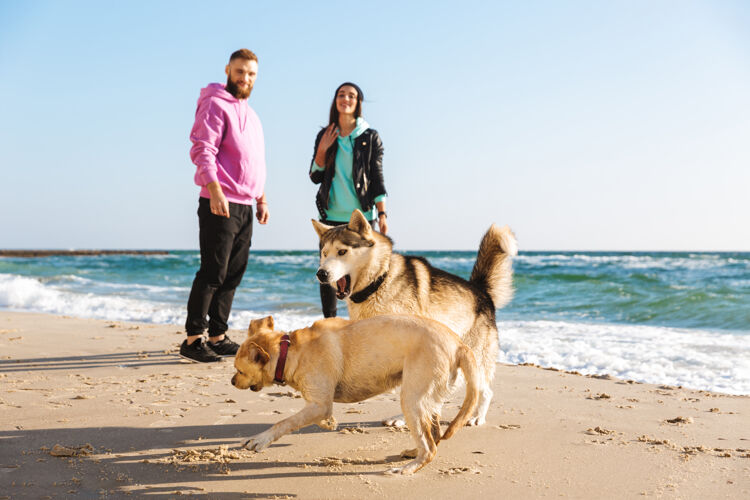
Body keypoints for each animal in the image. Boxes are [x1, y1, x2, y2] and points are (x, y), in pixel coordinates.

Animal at [232, 314, 478, 474]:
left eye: (240, 371)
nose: (232, 381)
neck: (290, 351)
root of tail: (459, 344)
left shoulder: (320, 404)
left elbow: (284, 422)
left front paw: (260, 439)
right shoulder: (319, 404)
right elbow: (317, 418)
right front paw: (329, 423)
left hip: (412, 399)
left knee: (429, 448)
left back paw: (407, 468)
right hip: (427, 400)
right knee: (433, 435)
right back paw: (412, 452)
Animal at [312, 210, 516, 426]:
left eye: (342, 252)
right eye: (324, 253)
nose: (321, 273)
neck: (380, 281)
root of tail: (480, 290)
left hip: (474, 356)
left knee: (484, 390)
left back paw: (477, 416)